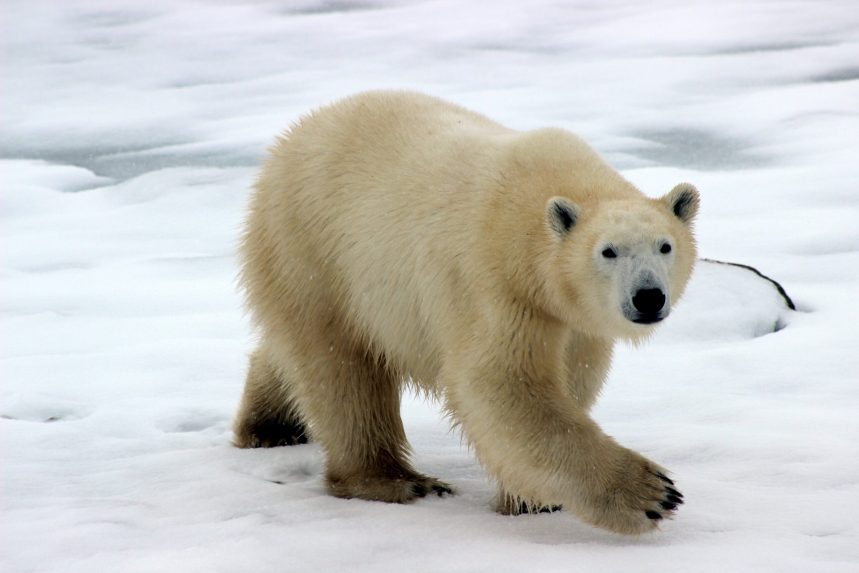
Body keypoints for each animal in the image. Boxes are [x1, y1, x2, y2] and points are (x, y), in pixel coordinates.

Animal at [233, 90, 699, 535]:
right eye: (608, 251)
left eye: (665, 246)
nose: (648, 297)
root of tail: (290, 138)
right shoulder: (495, 285)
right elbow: (500, 384)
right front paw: (652, 494)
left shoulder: (572, 319)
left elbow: (573, 377)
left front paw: (530, 499)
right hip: (313, 249)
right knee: (341, 370)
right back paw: (396, 480)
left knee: (294, 354)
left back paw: (271, 425)